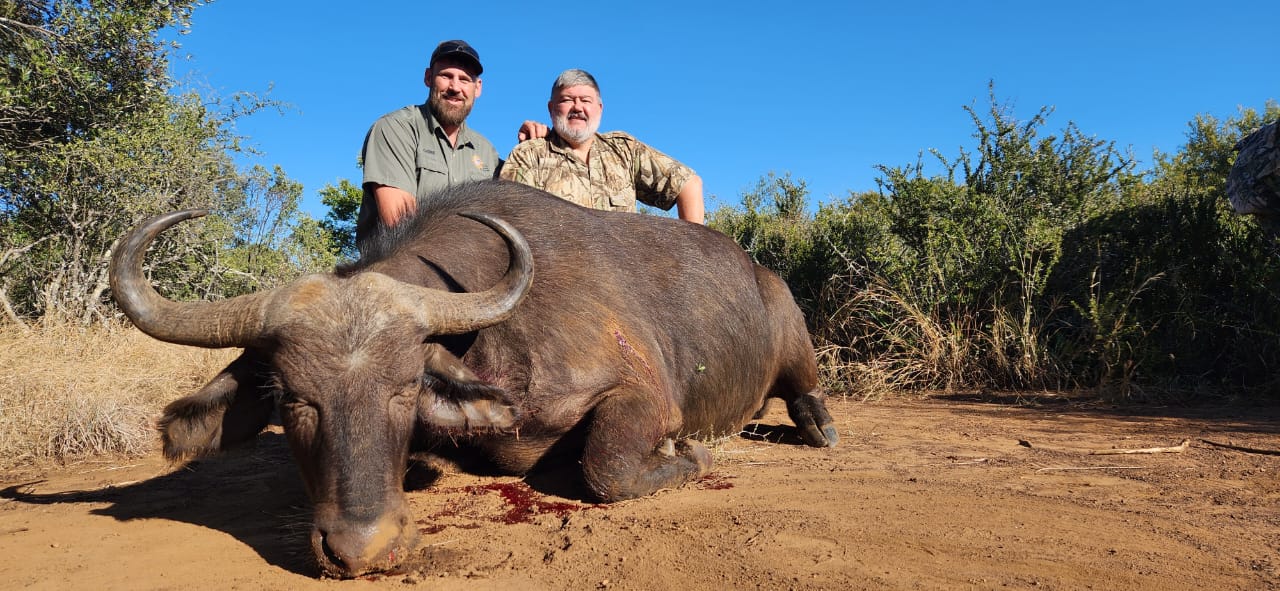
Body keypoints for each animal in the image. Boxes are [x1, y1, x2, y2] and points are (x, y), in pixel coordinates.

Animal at [110, 180, 838, 578]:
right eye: (292, 399)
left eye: (405, 388)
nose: (362, 548)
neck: (495, 328)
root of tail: (760, 273)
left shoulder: (643, 397)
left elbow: (607, 469)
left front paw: (690, 454)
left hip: (795, 341)